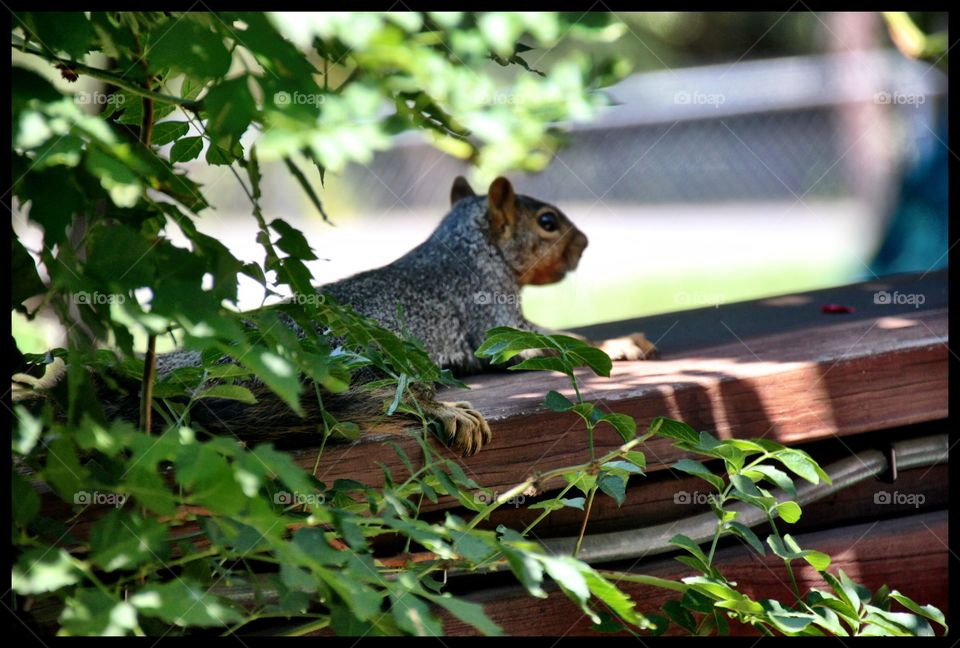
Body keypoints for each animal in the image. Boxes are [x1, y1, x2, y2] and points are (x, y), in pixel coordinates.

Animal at [13, 176, 658, 456]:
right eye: (547, 223)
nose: (585, 245)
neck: (464, 248)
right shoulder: (493, 319)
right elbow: (557, 341)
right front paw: (621, 344)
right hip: (346, 360)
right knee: (362, 405)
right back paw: (446, 410)